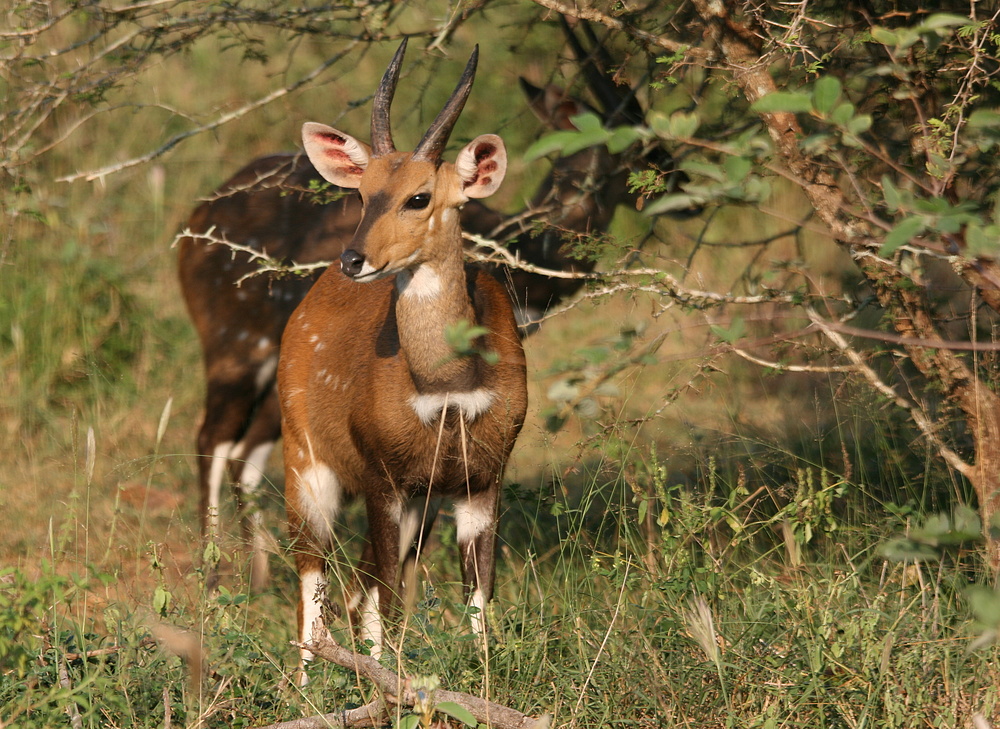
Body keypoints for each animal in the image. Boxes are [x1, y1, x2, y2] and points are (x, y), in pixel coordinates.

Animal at [176, 22, 688, 596]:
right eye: (644, 142)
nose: (684, 183)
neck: (519, 250)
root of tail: (195, 222)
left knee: (246, 453)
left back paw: (261, 574)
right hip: (237, 350)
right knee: (213, 440)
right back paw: (215, 577)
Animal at [280, 39, 532, 664]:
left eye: (420, 197)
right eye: (362, 192)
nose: (354, 259)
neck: (446, 387)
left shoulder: (480, 478)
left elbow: (478, 599)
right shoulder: (381, 476)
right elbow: (393, 605)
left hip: (418, 503)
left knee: (354, 596)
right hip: (305, 466)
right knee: (313, 595)